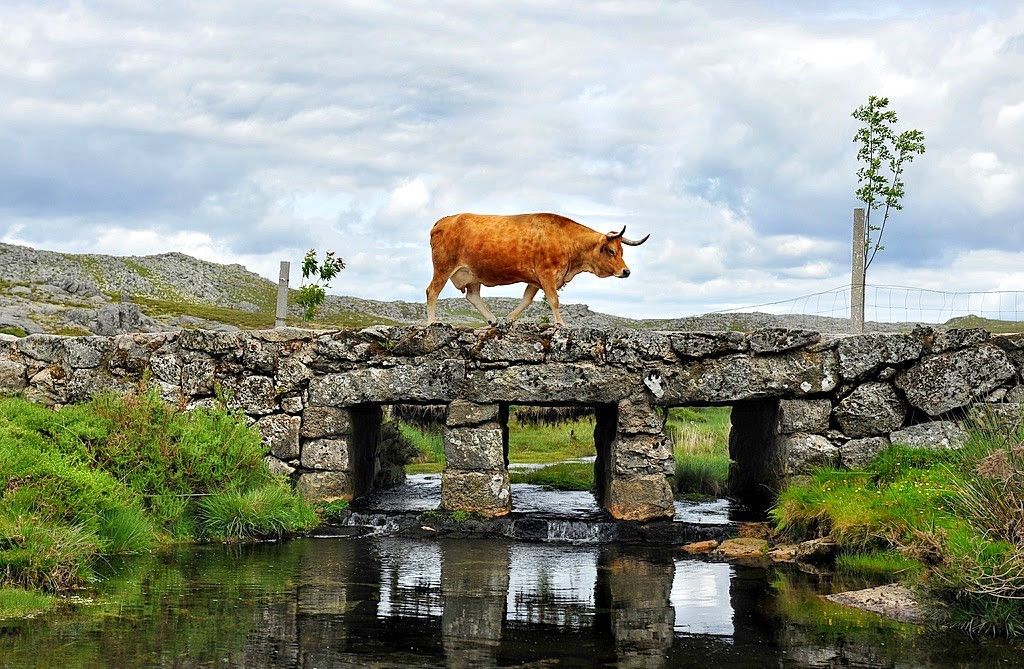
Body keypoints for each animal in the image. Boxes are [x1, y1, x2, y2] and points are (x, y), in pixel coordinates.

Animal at [423, 214, 647, 325]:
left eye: (622, 250)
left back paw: (493, 320)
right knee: (432, 291)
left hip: (473, 275)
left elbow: (526, 300)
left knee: (473, 296)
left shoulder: (535, 280)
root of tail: (444, 220)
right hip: (444, 267)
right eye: (611, 250)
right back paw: (432, 322)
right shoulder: (546, 273)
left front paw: (509, 318)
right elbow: (554, 300)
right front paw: (560, 323)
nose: (626, 271)